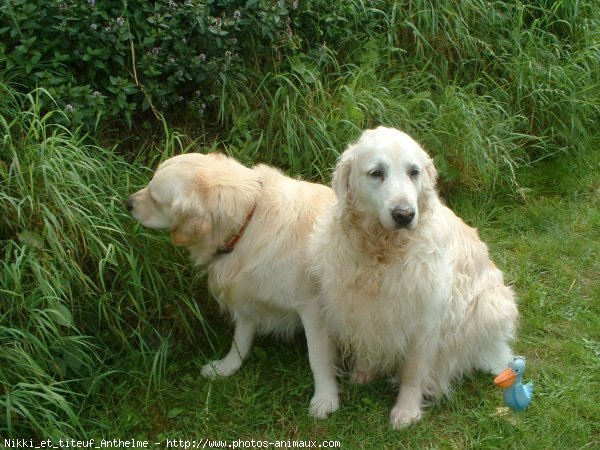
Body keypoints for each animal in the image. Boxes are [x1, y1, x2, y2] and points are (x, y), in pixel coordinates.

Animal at [127, 152, 340, 418]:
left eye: (155, 198)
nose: (127, 203)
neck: (247, 223)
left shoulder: (313, 309)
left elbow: (318, 358)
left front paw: (325, 399)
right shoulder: (245, 296)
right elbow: (240, 340)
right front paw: (226, 368)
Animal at [308, 127, 516, 428]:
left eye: (414, 172)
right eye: (376, 173)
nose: (404, 214)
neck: (382, 253)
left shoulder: (425, 322)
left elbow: (413, 373)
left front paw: (406, 411)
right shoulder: (353, 308)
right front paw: (350, 380)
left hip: (490, 304)